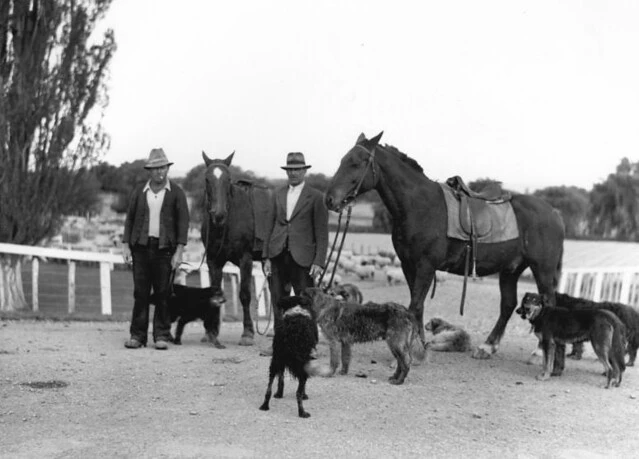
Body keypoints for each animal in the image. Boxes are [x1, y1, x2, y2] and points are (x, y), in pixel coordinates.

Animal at [202, 151, 272, 348]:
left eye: (228, 179)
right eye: (207, 179)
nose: (218, 214)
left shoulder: (245, 260)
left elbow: (245, 295)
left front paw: (247, 333)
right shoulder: (213, 261)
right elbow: (215, 293)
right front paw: (212, 332)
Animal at [324, 133, 564, 360]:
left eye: (357, 162)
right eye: (343, 160)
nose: (329, 199)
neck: (421, 206)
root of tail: (553, 213)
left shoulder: (426, 266)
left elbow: (415, 305)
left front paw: (412, 351)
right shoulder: (408, 265)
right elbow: (418, 307)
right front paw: (419, 346)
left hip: (542, 269)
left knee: (548, 302)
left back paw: (538, 352)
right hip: (510, 270)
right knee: (507, 305)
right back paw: (487, 347)